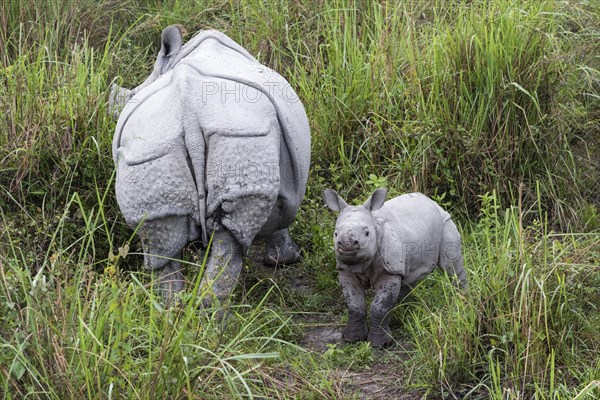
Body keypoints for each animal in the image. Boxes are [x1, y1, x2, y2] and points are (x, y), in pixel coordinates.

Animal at [109, 26, 312, 304]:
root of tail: (189, 114)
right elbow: (281, 220)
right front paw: (284, 259)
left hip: (153, 153)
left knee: (162, 245)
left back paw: (174, 312)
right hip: (242, 136)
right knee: (230, 243)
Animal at [324, 188, 468, 346]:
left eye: (367, 233)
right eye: (335, 233)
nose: (347, 244)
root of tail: (433, 202)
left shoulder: (390, 271)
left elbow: (380, 307)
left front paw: (380, 344)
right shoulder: (346, 271)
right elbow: (355, 305)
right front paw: (351, 338)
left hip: (445, 223)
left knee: (452, 269)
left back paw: (462, 301)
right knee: (408, 276)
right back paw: (404, 308)